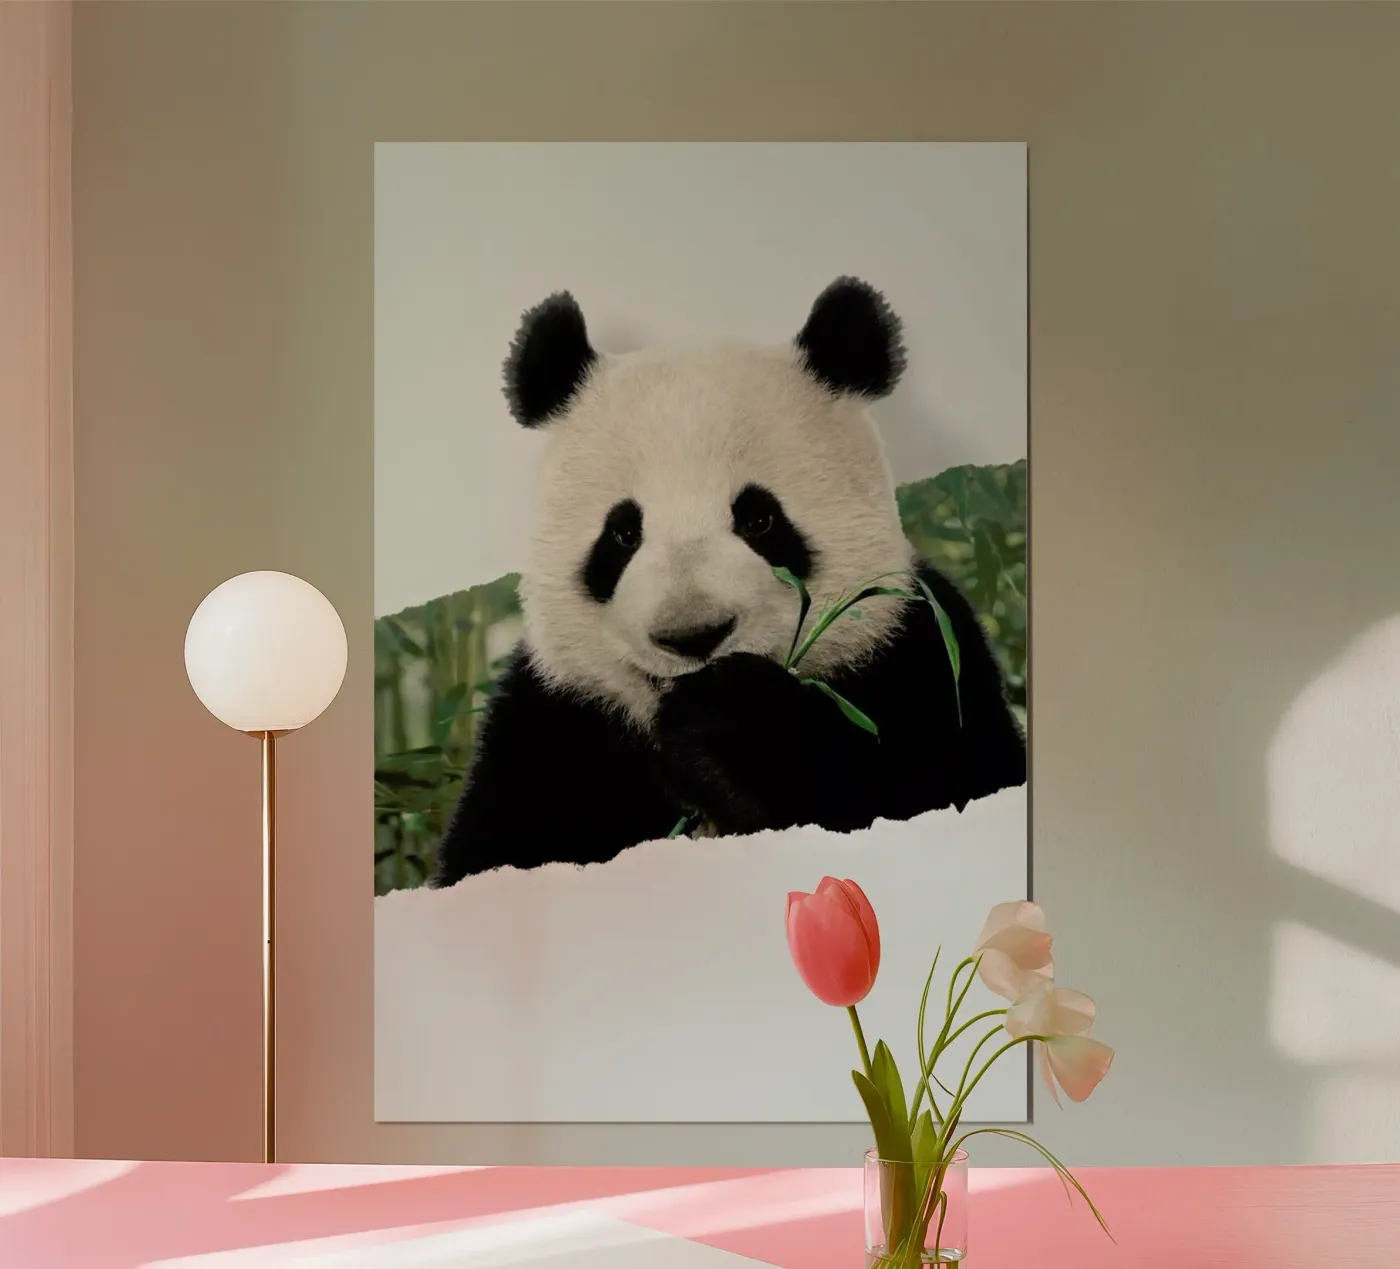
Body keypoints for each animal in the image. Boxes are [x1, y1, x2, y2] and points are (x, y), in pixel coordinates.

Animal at [431, 277, 1026, 887]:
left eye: (759, 519)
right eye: (622, 533)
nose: (693, 636)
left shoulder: (920, 655)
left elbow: (938, 783)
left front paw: (734, 726)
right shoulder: (553, 725)